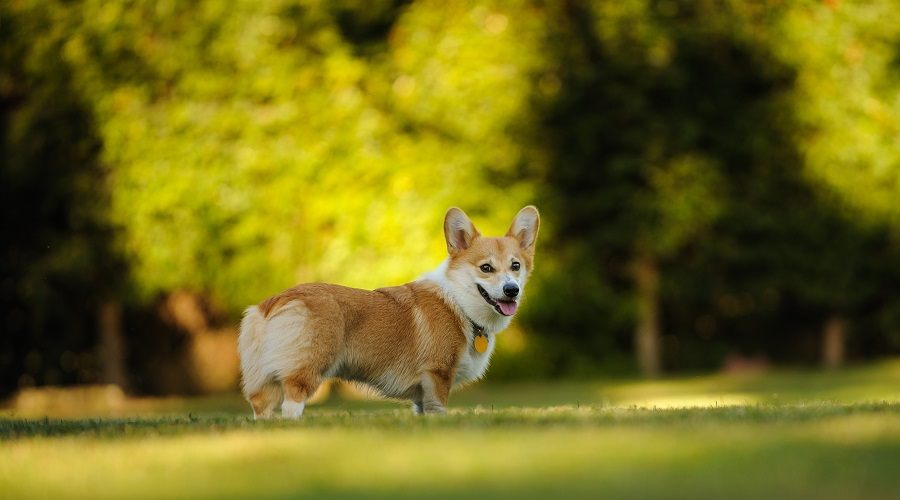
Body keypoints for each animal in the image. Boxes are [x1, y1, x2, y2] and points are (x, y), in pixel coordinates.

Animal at [236, 204, 540, 418]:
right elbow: (438, 410)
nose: (512, 290)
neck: (459, 302)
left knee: (262, 408)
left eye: (515, 266)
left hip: (263, 378)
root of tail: (272, 302)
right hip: (307, 368)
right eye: (486, 268)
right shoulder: (437, 376)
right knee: (292, 405)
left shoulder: (421, 392)